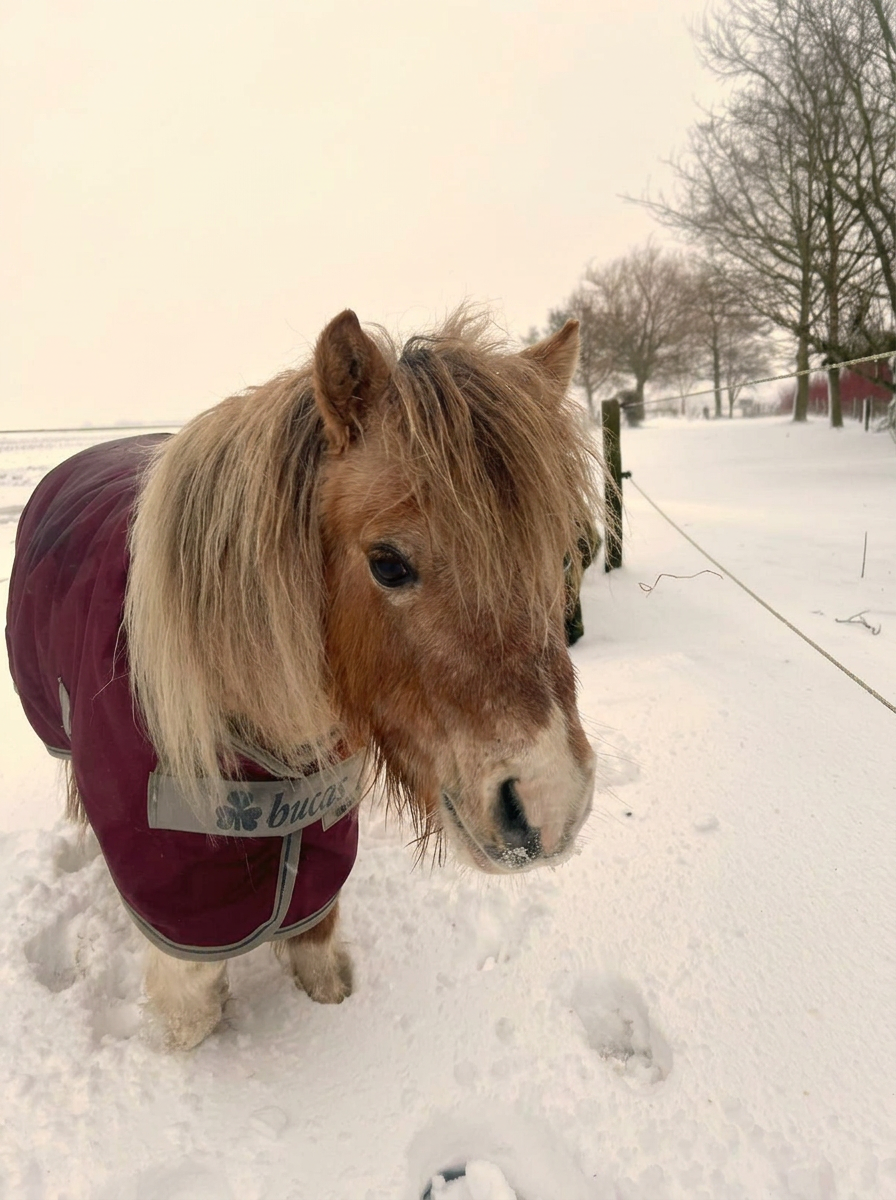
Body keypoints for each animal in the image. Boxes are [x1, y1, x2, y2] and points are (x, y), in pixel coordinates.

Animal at [6, 308, 599, 1050]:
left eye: (564, 555)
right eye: (388, 563)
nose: (551, 805)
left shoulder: (320, 835)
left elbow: (317, 948)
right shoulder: (174, 885)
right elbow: (192, 1008)